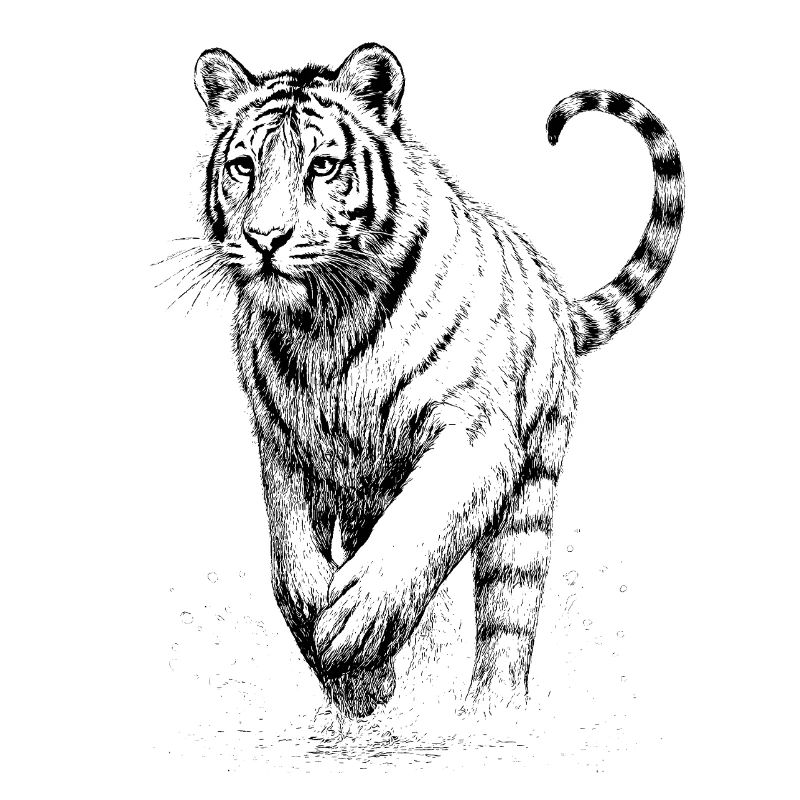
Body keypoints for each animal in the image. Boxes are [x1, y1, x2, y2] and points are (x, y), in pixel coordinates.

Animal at [189, 43, 684, 718]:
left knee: (509, 607)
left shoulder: (474, 433)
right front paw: (353, 677)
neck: (323, 324)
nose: (265, 239)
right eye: (243, 166)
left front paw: (355, 626)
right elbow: (290, 562)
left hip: (532, 490)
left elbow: (418, 529)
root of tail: (557, 296)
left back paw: (491, 712)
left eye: (322, 166)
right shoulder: (283, 444)